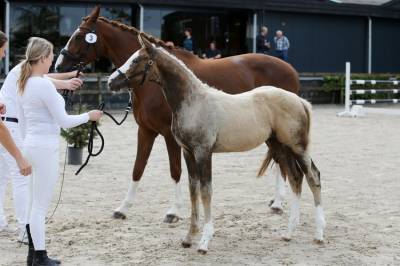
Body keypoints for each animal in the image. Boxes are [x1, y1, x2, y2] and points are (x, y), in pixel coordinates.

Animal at [56, 5, 300, 222]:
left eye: (79, 36)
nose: (59, 66)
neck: (157, 82)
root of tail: (291, 69)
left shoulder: (170, 135)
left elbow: (175, 171)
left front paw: (173, 212)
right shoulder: (145, 131)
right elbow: (137, 168)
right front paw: (123, 208)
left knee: (281, 160)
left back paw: (279, 203)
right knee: (278, 159)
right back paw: (276, 201)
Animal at [108, 37, 326, 254]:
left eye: (137, 60)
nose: (111, 82)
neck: (194, 102)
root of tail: (299, 100)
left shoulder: (203, 152)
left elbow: (206, 192)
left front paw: (204, 241)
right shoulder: (188, 152)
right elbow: (193, 190)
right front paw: (189, 237)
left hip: (297, 146)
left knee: (313, 177)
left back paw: (319, 235)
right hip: (280, 146)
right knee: (296, 178)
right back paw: (289, 233)